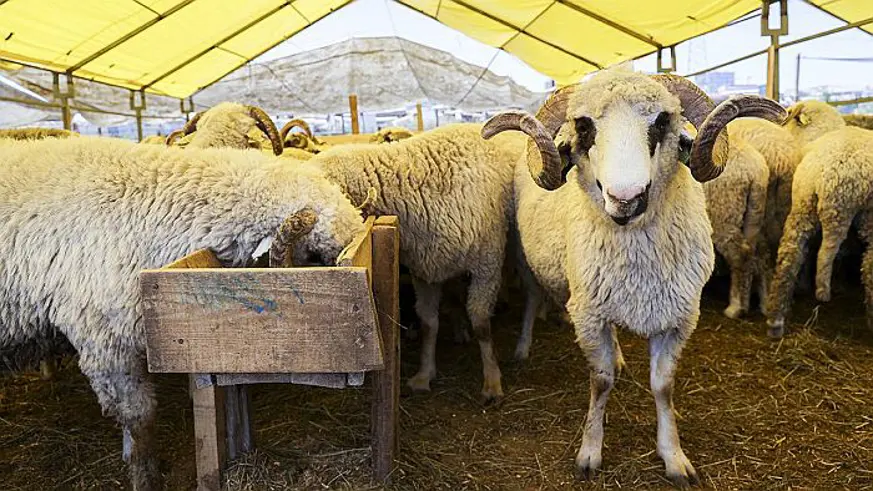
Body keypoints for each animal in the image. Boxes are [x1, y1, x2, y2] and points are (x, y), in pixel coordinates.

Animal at [304, 125, 524, 402]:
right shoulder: (425, 270)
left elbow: (482, 324)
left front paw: (492, 382)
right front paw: (424, 375)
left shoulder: (487, 266)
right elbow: (429, 323)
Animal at [484, 67, 784, 486]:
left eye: (662, 121)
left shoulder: (678, 320)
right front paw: (589, 454)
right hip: (527, 262)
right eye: (583, 125)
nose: (626, 198)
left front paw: (673, 457)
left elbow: (663, 386)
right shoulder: (589, 317)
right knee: (532, 299)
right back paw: (523, 348)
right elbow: (601, 381)